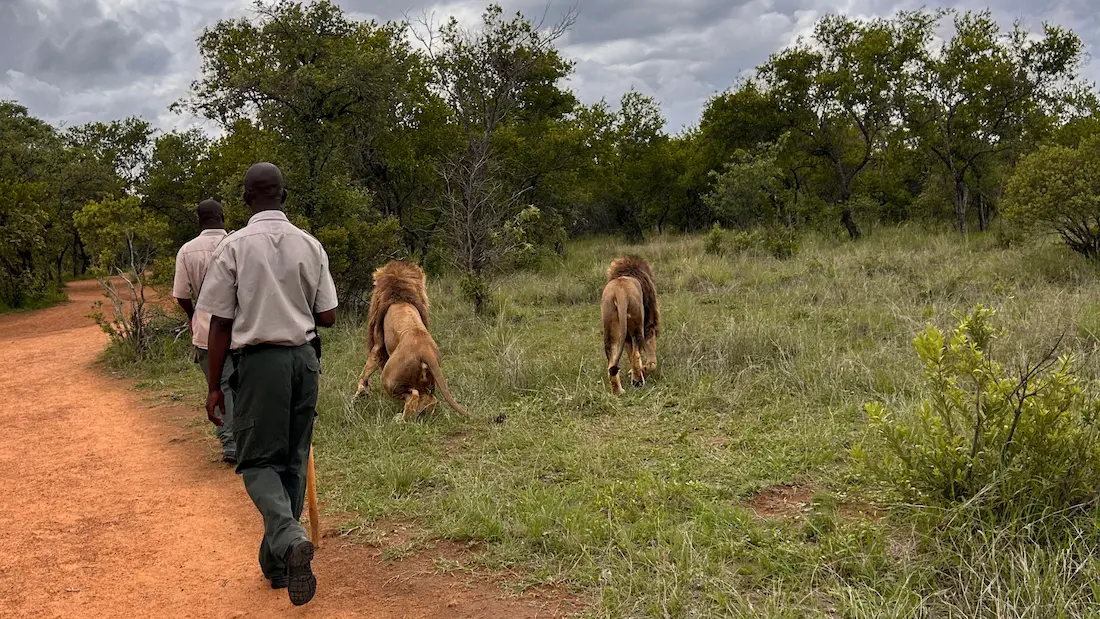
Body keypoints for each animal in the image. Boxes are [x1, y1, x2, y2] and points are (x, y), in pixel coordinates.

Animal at [354, 260, 466, 422]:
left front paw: (360, 394)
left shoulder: (378, 346)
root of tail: (426, 351)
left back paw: (400, 420)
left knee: (413, 395)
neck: (400, 299)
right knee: (430, 399)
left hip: (389, 378)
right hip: (427, 381)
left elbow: (366, 370)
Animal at [601, 256, 659, 395]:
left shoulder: (626, 336)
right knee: (635, 354)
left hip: (611, 332)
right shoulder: (650, 322)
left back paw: (619, 391)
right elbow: (650, 349)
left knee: (612, 364)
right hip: (638, 325)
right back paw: (639, 381)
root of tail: (619, 293)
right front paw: (648, 367)